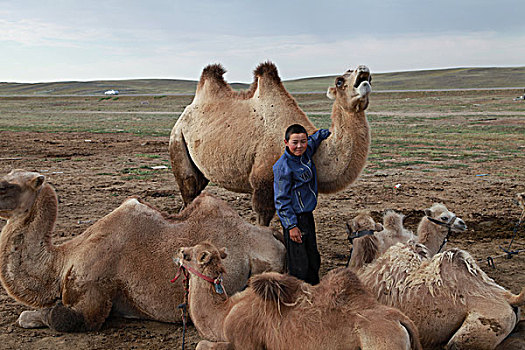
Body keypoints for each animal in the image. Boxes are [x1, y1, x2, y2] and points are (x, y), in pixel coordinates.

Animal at [170, 61, 370, 226]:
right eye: (339, 81)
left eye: (369, 77)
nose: (364, 70)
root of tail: (184, 114)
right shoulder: (263, 182)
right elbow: (263, 218)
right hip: (177, 140)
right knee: (189, 189)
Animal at [176, 241, 422, 350]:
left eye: (188, 255)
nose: (178, 251)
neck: (225, 313)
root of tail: (402, 321)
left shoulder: (245, 342)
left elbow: (201, 345)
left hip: (382, 344)